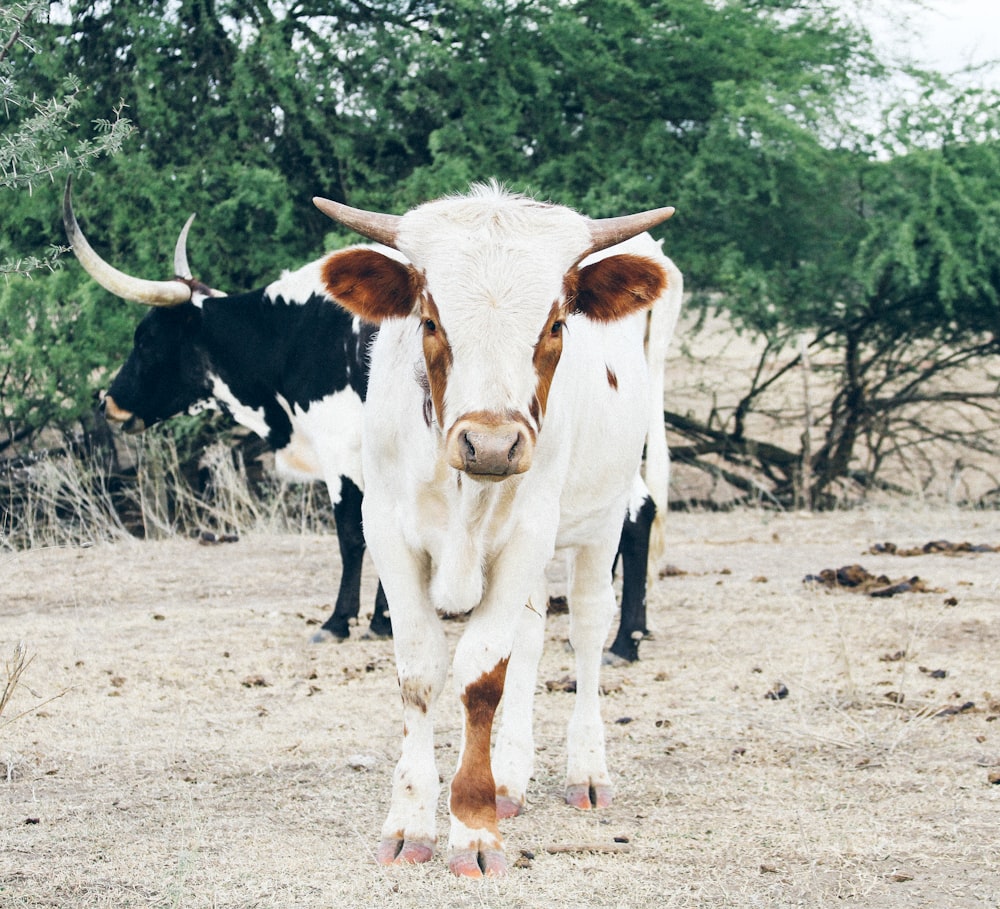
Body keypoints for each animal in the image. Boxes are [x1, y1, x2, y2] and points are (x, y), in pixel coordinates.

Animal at [312, 183, 680, 872]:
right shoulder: (388, 534)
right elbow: (422, 671)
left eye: (556, 324)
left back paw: (585, 770)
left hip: (598, 523)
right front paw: (411, 822)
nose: (489, 445)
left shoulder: (529, 536)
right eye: (430, 322)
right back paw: (511, 779)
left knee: (586, 629)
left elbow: (482, 674)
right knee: (531, 642)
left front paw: (474, 828)